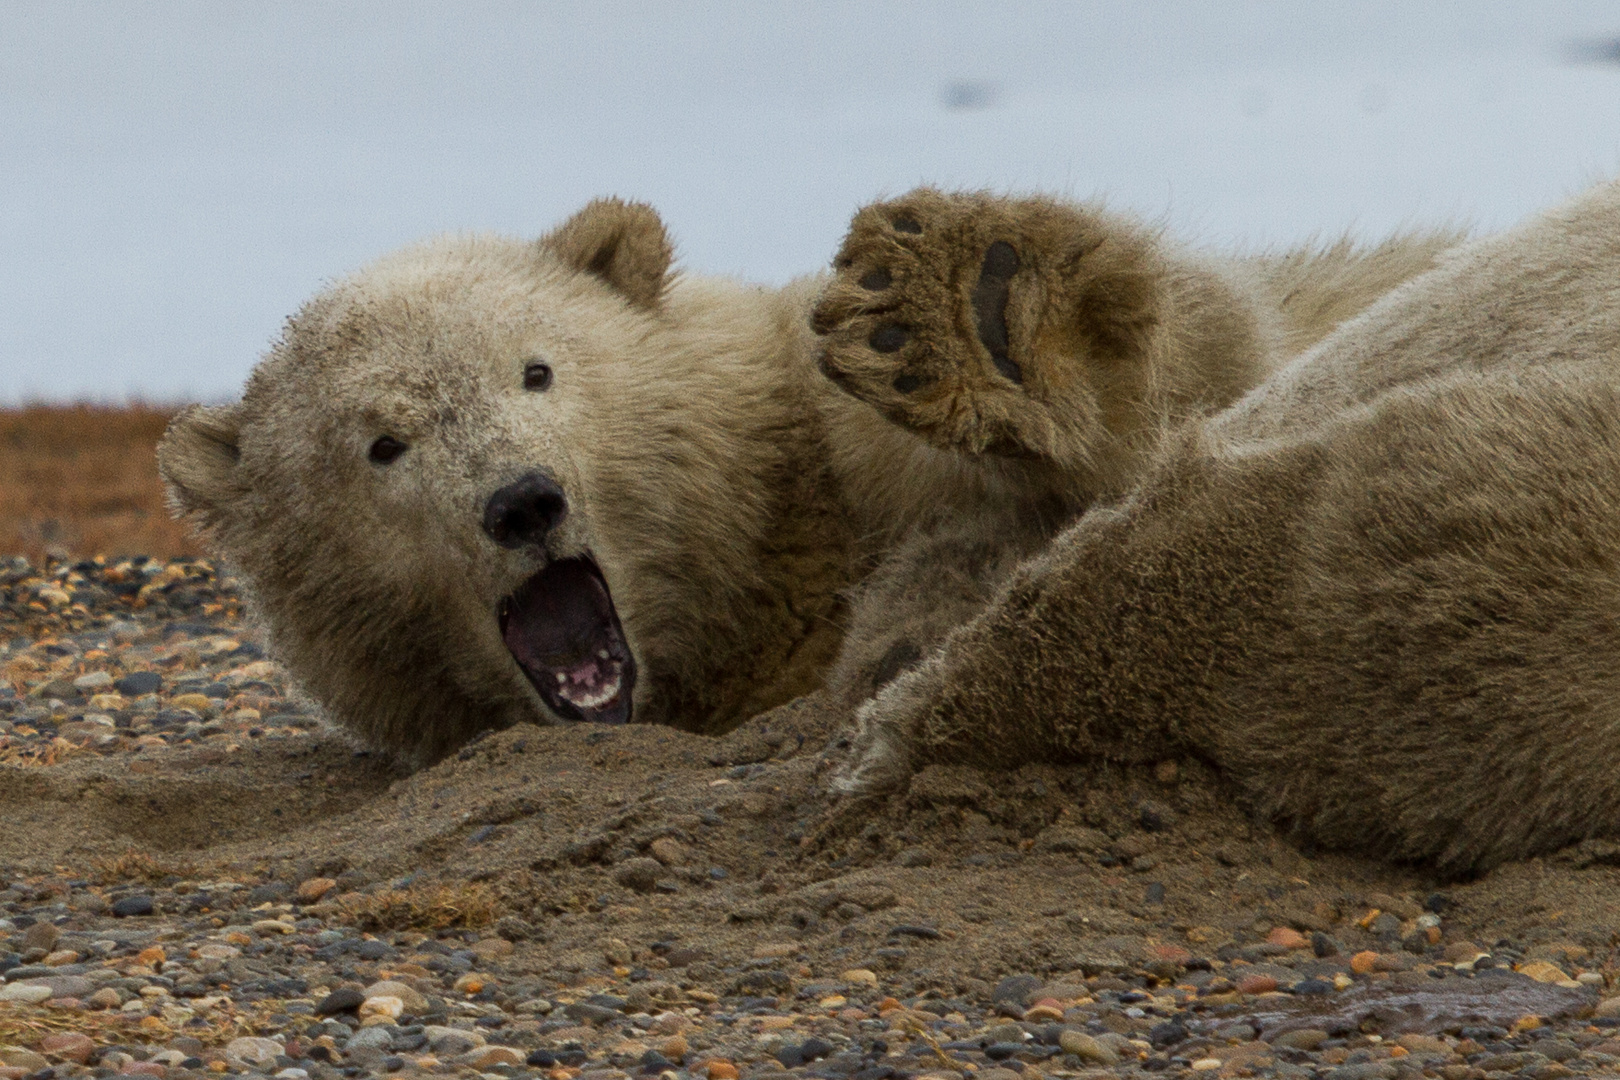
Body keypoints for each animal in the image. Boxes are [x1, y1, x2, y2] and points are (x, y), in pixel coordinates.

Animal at [161, 194, 1458, 767]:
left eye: (535, 368)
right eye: (382, 444)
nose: (523, 502)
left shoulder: (833, 410)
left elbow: (1222, 361)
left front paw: (982, 316)